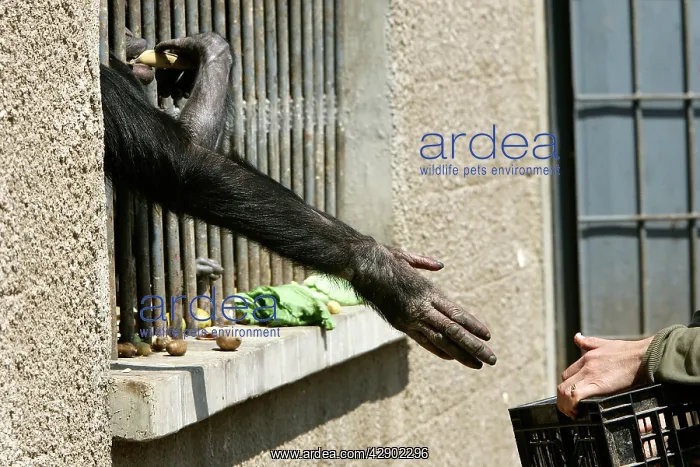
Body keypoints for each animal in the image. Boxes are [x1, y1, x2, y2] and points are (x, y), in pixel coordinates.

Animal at [101, 30, 497, 369]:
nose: (131, 36)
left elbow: (187, 150)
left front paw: (206, 52)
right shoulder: (106, 87)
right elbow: (185, 166)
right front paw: (389, 276)